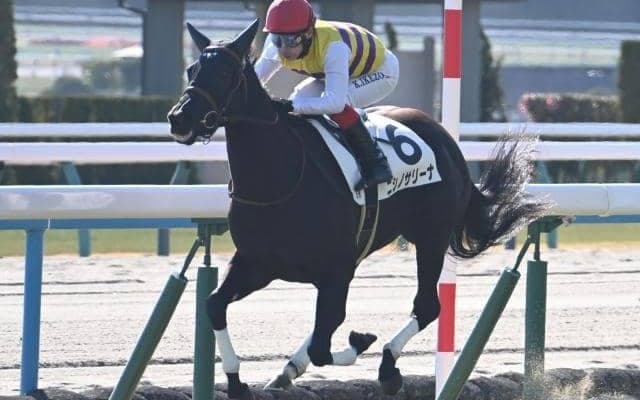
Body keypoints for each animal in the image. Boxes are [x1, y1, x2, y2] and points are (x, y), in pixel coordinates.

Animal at [167, 19, 547, 400]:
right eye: (192, 69)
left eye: (225, 72)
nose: (179, 118)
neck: (279, 179)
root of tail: (446, 141)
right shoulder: (259, 262)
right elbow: (215, 305)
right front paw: (236, 381)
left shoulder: (335, 269)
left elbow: (324, 346)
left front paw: (361, 341)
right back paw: (290, 370)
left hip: (431, 236)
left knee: (426, 306)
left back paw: (388, 367)